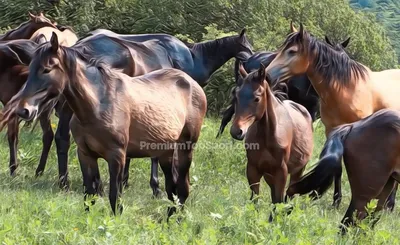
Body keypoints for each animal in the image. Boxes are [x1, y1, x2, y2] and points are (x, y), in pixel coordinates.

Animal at [8, 32, 208, 216]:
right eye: (30, 68)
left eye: (47, 69)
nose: (24, 110)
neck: (97, 104)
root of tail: (191, 82)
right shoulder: (85, 154)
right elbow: (89, 195)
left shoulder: (116, 156)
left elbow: (115, 198)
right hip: (166, 152)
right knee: (172, 188)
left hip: (185, 148)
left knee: (182, 188)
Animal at [228, 62, 312, 221]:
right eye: (236, 96)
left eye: (257, 98)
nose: (237, 131)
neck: (267, 137)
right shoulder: (253, 169)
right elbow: (255, 199)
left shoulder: (281, 172)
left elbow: (279, 201)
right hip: (269, 175)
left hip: (298, 171)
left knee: (290, 196)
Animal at [262, 23, 400, 210]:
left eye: (292, 51)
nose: (267, 75)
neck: (346, 89)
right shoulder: (332, 131)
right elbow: (337, 168)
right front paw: (336, 200)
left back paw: (390, 204)